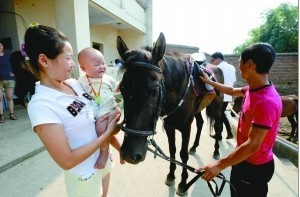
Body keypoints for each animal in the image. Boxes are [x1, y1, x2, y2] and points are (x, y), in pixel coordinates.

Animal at [116, 32, 224, 195]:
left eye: (154, 90)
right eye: (122, 88)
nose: (129, 154)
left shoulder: (186, 127)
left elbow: (182, 154)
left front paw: (183, 184)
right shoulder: (169, 126)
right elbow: (172, 151)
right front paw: (171, 176)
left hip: (217, 106)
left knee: (217, 127)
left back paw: (216, 151)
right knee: (200, 123)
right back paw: (194, 146)